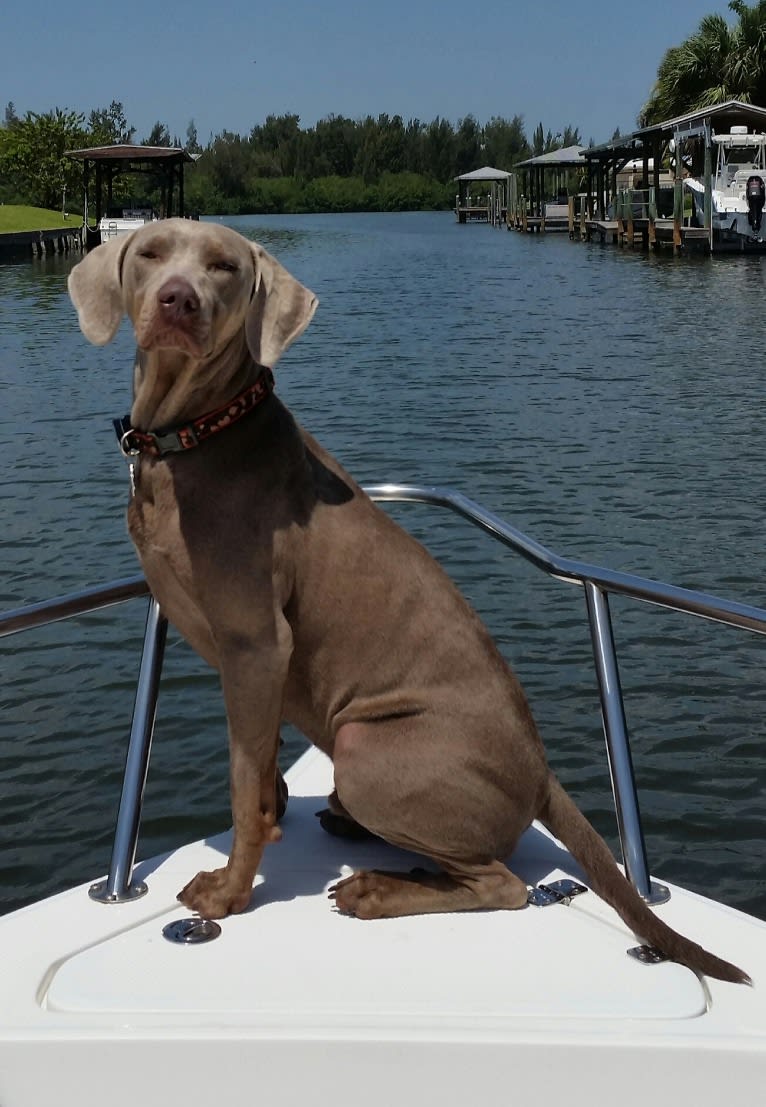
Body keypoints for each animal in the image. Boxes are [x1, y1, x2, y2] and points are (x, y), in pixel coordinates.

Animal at [68, 218, 752, 987]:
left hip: (366, 746)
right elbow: (261, 770)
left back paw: (374, 889)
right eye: (151, 251)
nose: (178, 301)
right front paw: (275, 816)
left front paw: (229, 892)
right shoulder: (252, 670)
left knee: (502, 884)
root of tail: (541, 773)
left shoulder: (256, 644)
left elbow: (243, 787)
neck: (194, 435)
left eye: (224, 266)